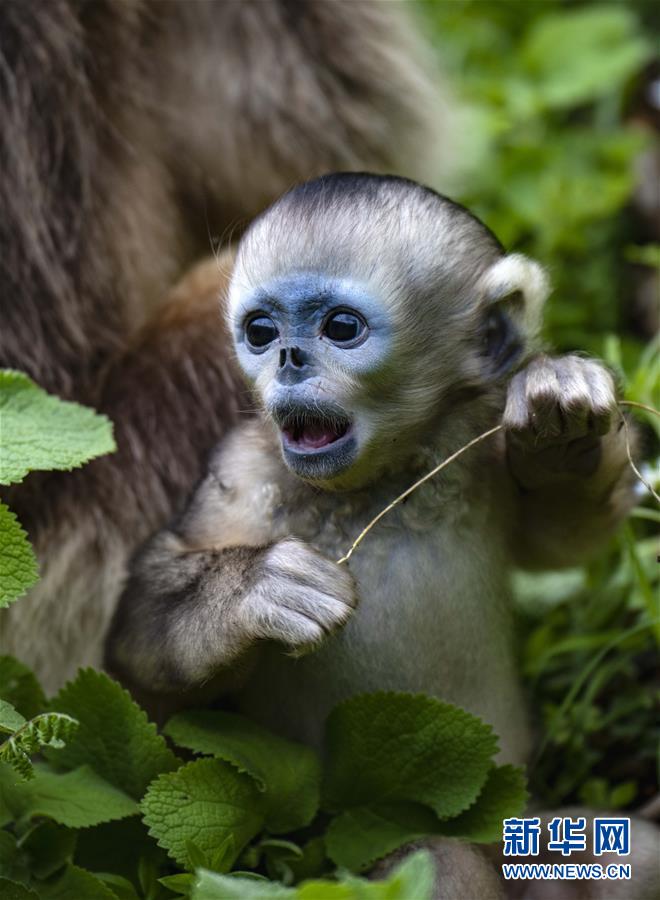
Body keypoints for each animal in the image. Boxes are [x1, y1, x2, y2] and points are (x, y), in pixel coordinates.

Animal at [107, 176, 636, 768]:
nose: (288, 358)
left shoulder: (482, 439)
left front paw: (561, 419)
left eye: (341, 327)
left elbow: (563, 537)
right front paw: (258, 589)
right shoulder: (241, 473)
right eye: (261, 331)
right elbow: (136, 642)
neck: (377, 488)